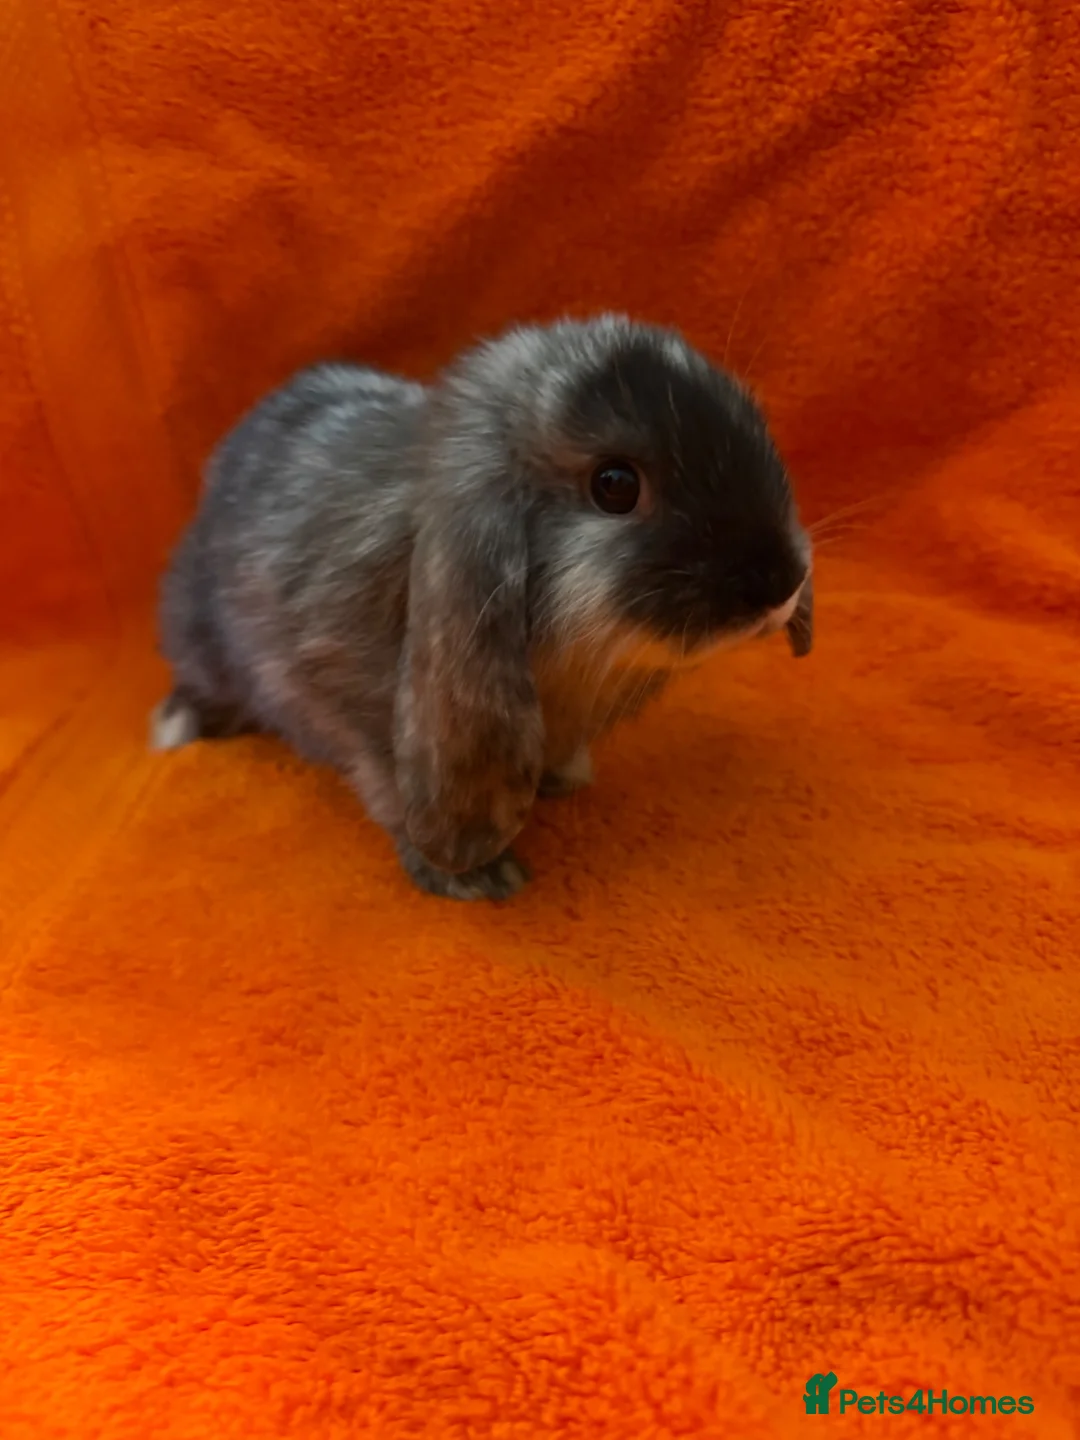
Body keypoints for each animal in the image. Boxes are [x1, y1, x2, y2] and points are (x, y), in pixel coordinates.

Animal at [152, 314, 814, 901]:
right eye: (616, 485)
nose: (782, 584)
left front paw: (565, 778)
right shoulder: (345, 702)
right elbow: (389, 786)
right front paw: (475, 877)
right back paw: (175, 729)